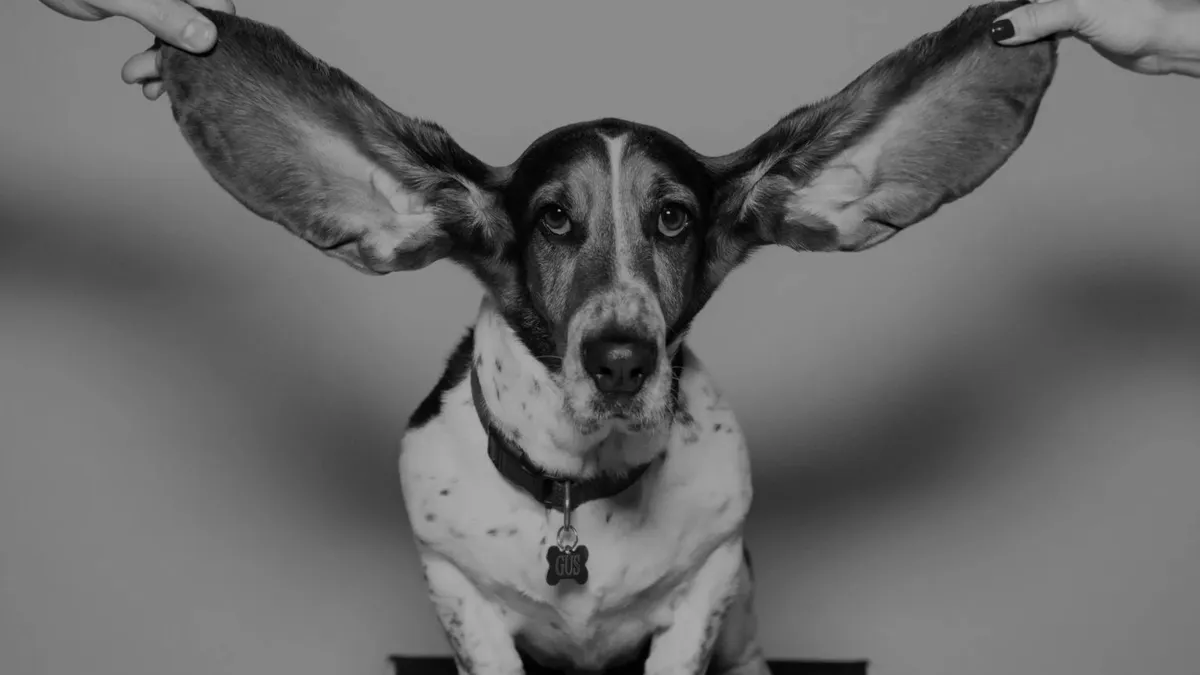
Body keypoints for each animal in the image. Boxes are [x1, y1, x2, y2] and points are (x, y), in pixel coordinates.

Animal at [151, 2, 1055, 673]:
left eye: (673, 218)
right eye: (553, 217)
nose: (621, 361)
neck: (578, 487)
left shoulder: (710, 581)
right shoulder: (457, 590)